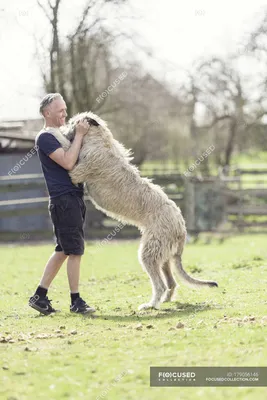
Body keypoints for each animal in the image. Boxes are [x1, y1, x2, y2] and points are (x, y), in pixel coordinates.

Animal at [45, 111, 219, 310]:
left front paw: (51, 131)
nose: (64, 128)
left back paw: (151, 304)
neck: (99, 139)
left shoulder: (76, 170)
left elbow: (67, 150)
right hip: (164, 254)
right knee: (171, 282)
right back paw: (165, 300)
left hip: (150, 251)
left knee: (160, 284)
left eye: (72, 123)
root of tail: (181, 226)